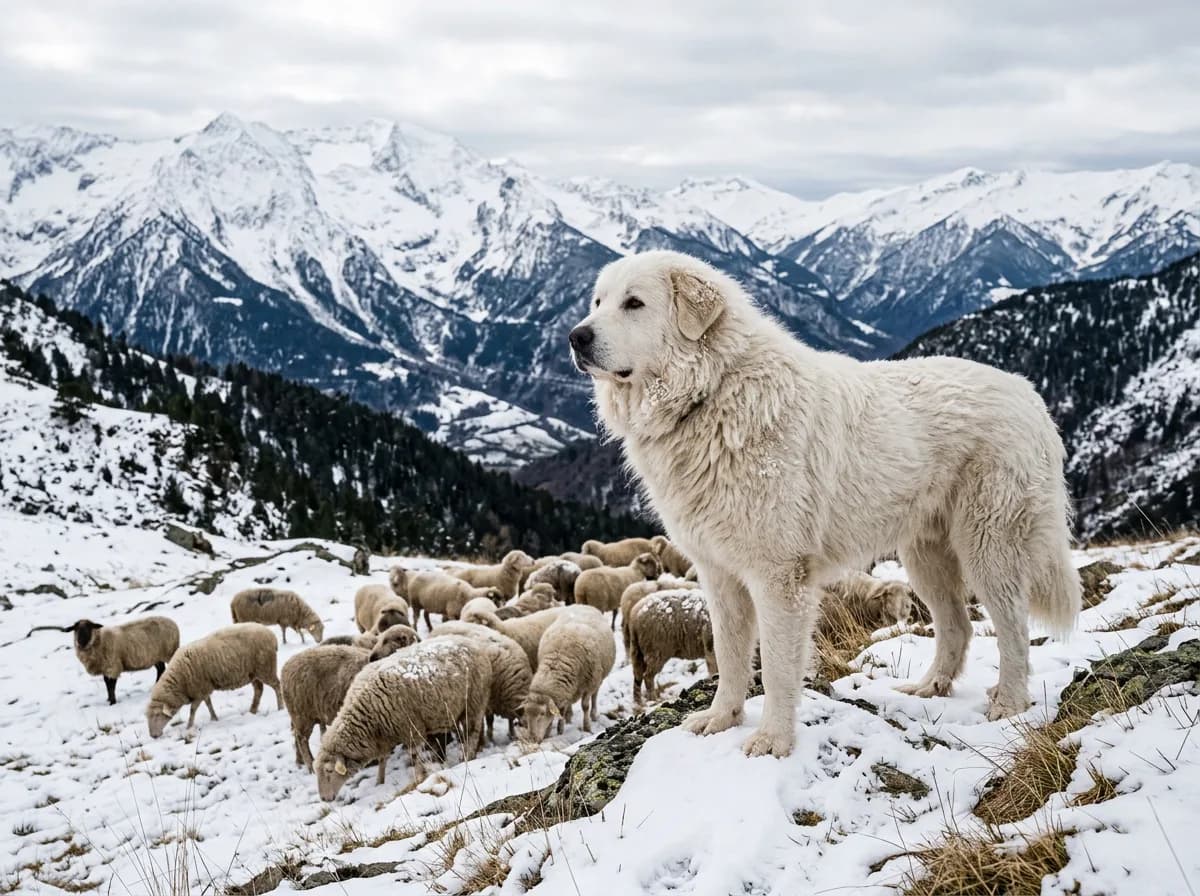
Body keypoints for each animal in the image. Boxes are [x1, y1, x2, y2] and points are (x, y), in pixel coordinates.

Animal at [29, 616, 180, 705]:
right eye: (76, 629)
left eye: (89, 627)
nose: (81, 642)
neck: (98, 641)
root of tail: (172, 621)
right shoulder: (105, 668)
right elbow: (107, 684)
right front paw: (108, 699)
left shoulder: (112, 666)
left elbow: (111, 685)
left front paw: (112, 701)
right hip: (156, 655)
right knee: (160, 668)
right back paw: (156, 684)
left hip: (168, 651)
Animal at [146, 623, 281, 737]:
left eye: (157, 715)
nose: (153, 736)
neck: (179, 682)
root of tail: (271, 635)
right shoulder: (203, 689)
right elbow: (208, 703)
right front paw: (214, 718)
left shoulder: (199, 690)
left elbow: (193, 709)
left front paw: (189, 726)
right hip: (253, 673)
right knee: (259, 689)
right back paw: (252, 710)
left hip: (265, 667)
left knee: (277, 685)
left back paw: (280, 707)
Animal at [314, 635, 493, 799]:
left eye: (329, 770)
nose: (325, 799)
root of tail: (472, 642)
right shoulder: (383, 737)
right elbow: (383, 759)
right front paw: (379, 781)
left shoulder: (412, 728)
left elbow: (415, 757)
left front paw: (419, 778)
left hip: (474, 702)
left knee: (473, 733)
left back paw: (468, 757)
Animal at [519, 607, 616, 742]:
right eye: (526, 713)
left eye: (542, 713)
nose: (532, 739)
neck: (558, 661)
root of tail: (583, 606)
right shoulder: (564, 690)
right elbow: (560, 711)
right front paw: (556, 731)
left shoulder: (589, 683)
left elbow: (585, 706)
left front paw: (587, 728)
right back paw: (569, 718)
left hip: (598, 678)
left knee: (595, 695)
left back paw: (593, 714)